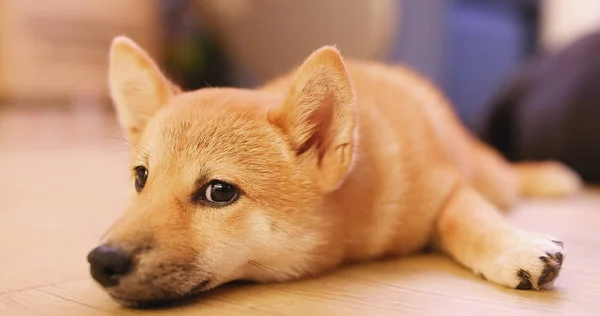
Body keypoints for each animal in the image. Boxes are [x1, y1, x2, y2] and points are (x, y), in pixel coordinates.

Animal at [88, 35, 580, 308]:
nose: (101, 261)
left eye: (219, 192)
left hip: (489, 174)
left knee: (507, 175)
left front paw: (514, 248)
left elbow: (467, 220)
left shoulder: (447, 187)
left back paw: (550, 176)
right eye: (141, 178)